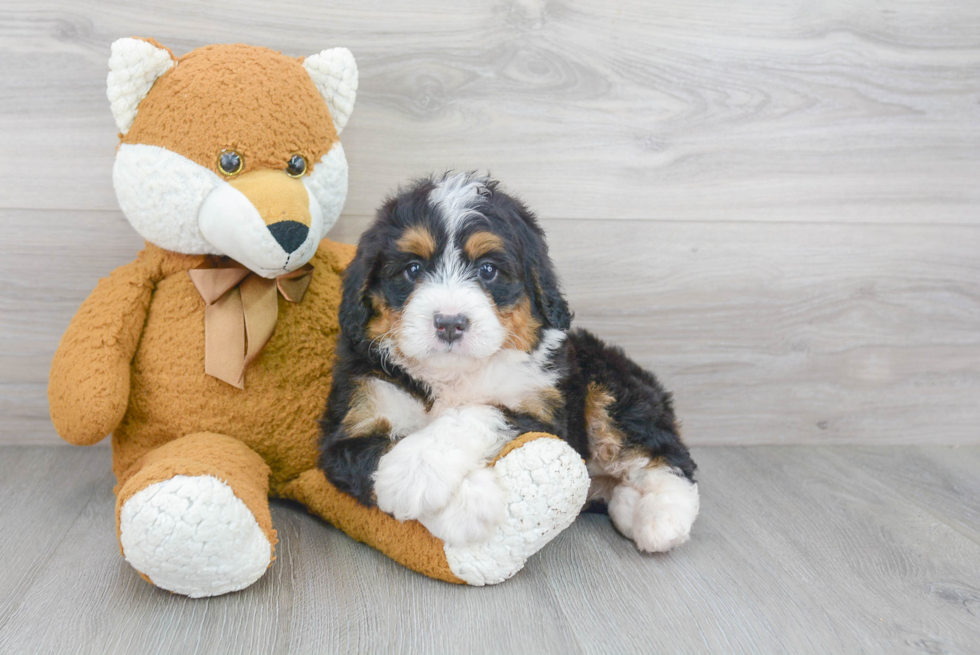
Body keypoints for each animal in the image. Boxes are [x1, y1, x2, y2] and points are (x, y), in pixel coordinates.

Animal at [320, 172, 696, 552]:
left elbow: (480, 413)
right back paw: (625, 504)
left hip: (611, 387)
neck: (452, 374)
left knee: (665, 457)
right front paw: (466, 501)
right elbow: (373, 454)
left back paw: (661, 518)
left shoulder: (545, 413)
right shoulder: (350, 426)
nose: (450, 323)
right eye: (413, 269)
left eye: (488, 270)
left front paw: (418, 468)